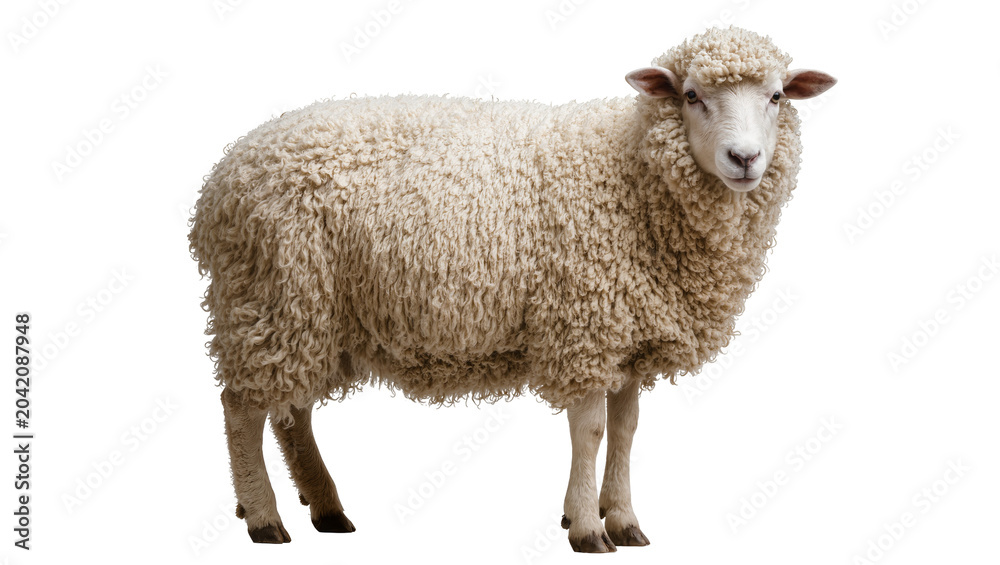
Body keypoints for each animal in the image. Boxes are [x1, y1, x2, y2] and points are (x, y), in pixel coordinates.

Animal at [188, 26, 835, 552]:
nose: (744, 158)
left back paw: (326, 509)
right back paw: (265, 518)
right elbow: (590, 431)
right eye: (693, 95)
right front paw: (587, 527)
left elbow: (625, 431)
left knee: (291, 413)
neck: (632, 176)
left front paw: (623, 519)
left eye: (777, 97)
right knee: (241, 410)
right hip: (271, 294)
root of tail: (221, 179)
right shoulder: (584, 326)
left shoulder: (630, 334)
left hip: (309, 312)